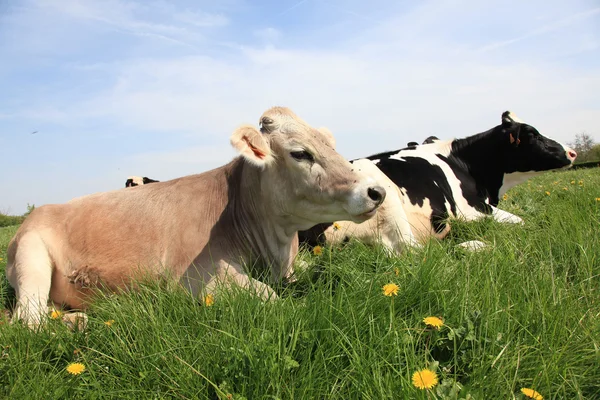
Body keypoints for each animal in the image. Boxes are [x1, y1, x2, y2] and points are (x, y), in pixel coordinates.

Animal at [8, 107, 384, 328]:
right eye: (300, 153)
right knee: (27, 320)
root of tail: (42, 209)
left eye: (331, 145)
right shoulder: (196, 279)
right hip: (31, 258)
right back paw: (78, 324)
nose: (375, 191)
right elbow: (273, 299)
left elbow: (330, 269)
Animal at [300, 111, 576, 255]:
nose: (572, 152)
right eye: (533, 135)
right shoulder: (472, 210)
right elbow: (523, 221)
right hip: (386, 202)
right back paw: (473, 245)